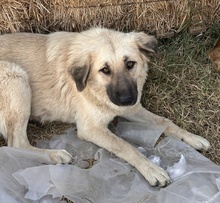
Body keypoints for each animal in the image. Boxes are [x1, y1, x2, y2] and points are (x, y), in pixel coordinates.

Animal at [0, 27, 211, 186]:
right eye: (105, 70)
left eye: (130, 64)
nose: (127, 99)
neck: (95, 88)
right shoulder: (90, 128)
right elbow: (125, 146)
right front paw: (151, 169)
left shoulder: (132, 108)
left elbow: (165, 122)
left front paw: (192, 138)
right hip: (15, 75)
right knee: (17, 144)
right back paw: (55, 155)